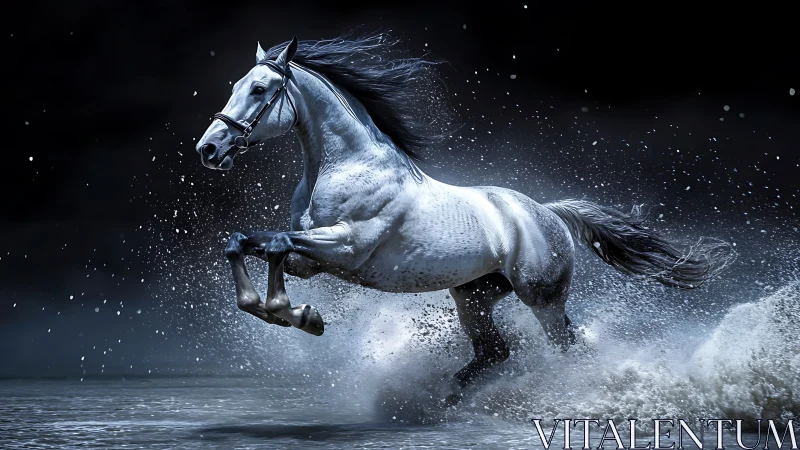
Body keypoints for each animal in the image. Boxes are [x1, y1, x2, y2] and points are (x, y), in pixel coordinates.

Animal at [195, 33, 734, 397]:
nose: (209, 148)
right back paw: (449, 398)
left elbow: (275, 244)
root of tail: (548, 213)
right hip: (473, 295)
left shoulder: (346, 247)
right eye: (238, 84)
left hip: (542, 299)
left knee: (565, 348)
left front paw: (300, 316)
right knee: (495, 351)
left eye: (260, 89)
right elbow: (245, 242)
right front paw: (282, 311)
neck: (347, 164)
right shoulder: (312, 257)